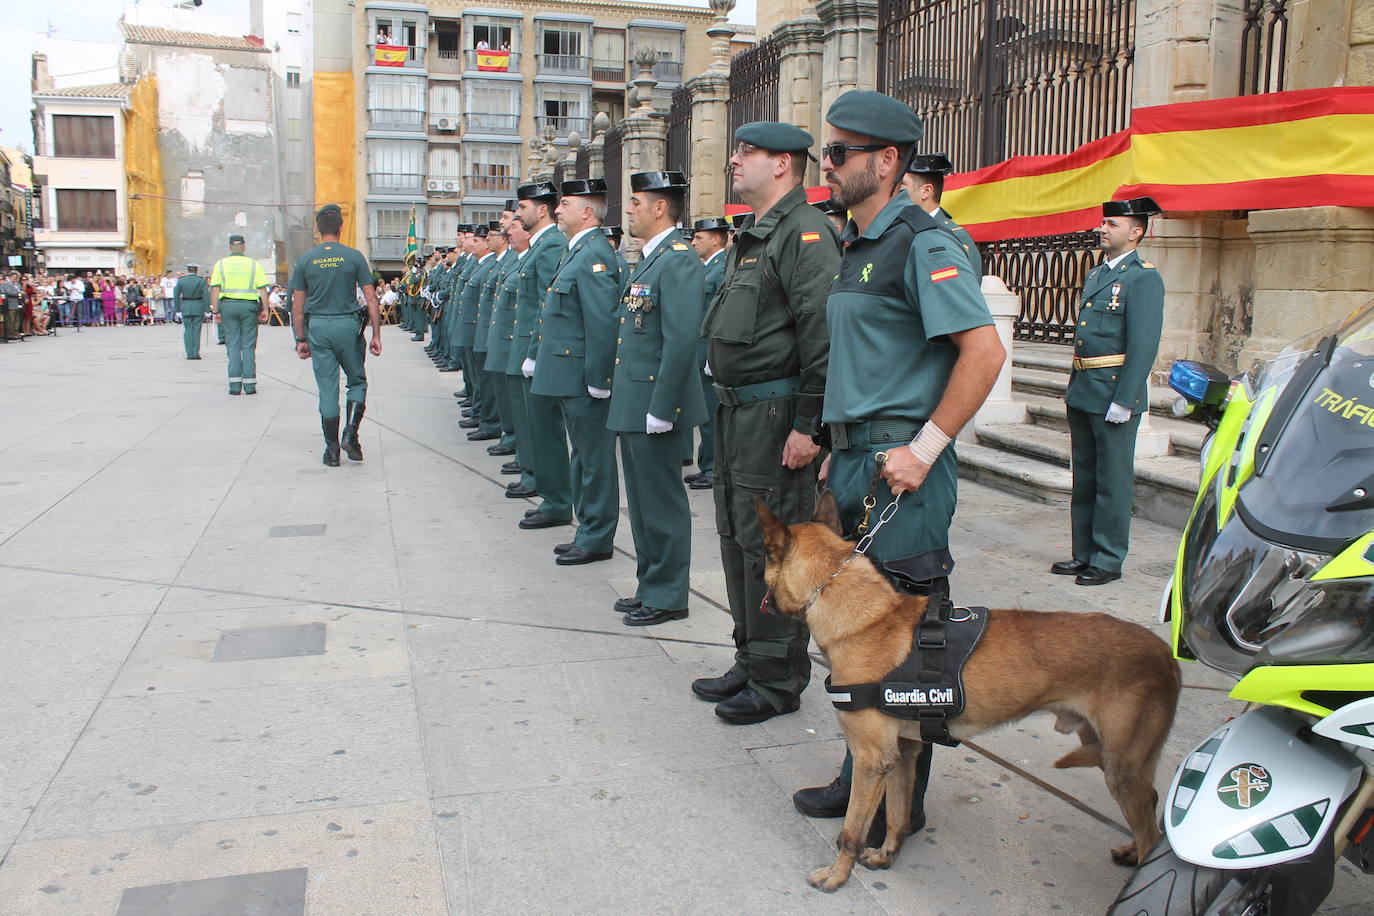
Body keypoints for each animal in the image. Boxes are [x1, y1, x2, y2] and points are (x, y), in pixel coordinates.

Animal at [758, 494, 1176, 895]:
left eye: (764, 554)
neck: (860, 610)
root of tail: (1165, 654)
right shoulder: (905, 752)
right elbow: (897, 813)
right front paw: (887, 854)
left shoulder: (871, 759)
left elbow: (850, 831)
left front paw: (837, 875)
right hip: (1112, 757)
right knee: (1152, 813)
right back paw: (1131, 850)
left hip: (1121, 768)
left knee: (1151, 834)